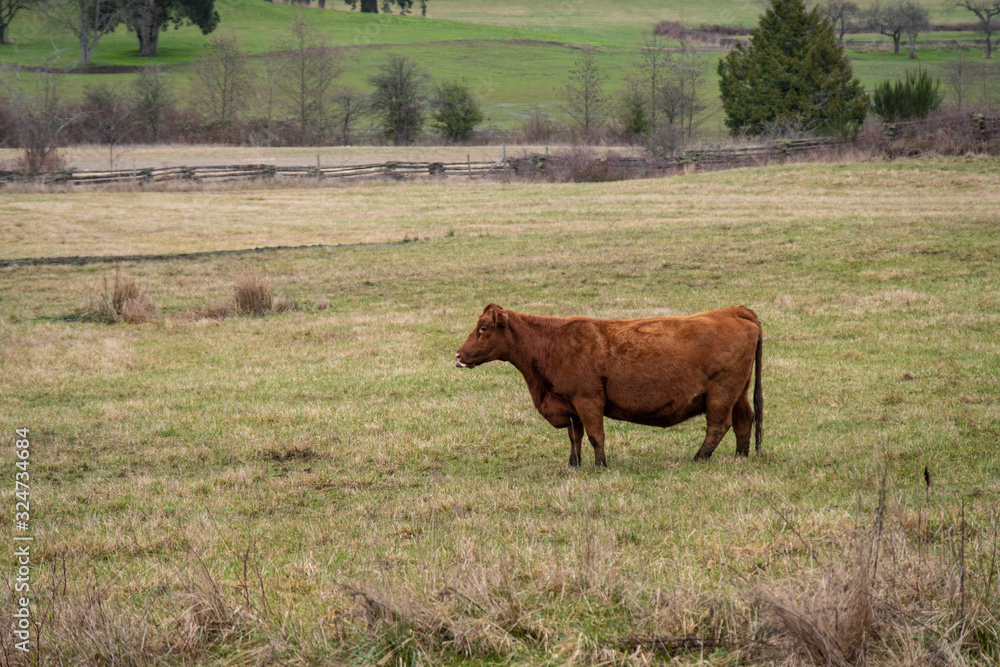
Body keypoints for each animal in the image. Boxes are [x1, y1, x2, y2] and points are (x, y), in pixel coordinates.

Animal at [458, 306, 760, 468]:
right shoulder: (570, 406)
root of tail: (734, 311)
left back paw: (699, 458)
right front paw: (574, 464)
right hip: (739, 393)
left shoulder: (587, 401)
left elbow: (595, 436)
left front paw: (600, 465)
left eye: (483, 328)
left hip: (721, 393)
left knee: (718, 426)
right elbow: (575, 437)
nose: (459, 355)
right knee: (744, 420)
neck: (554, 344)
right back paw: (740, 456)